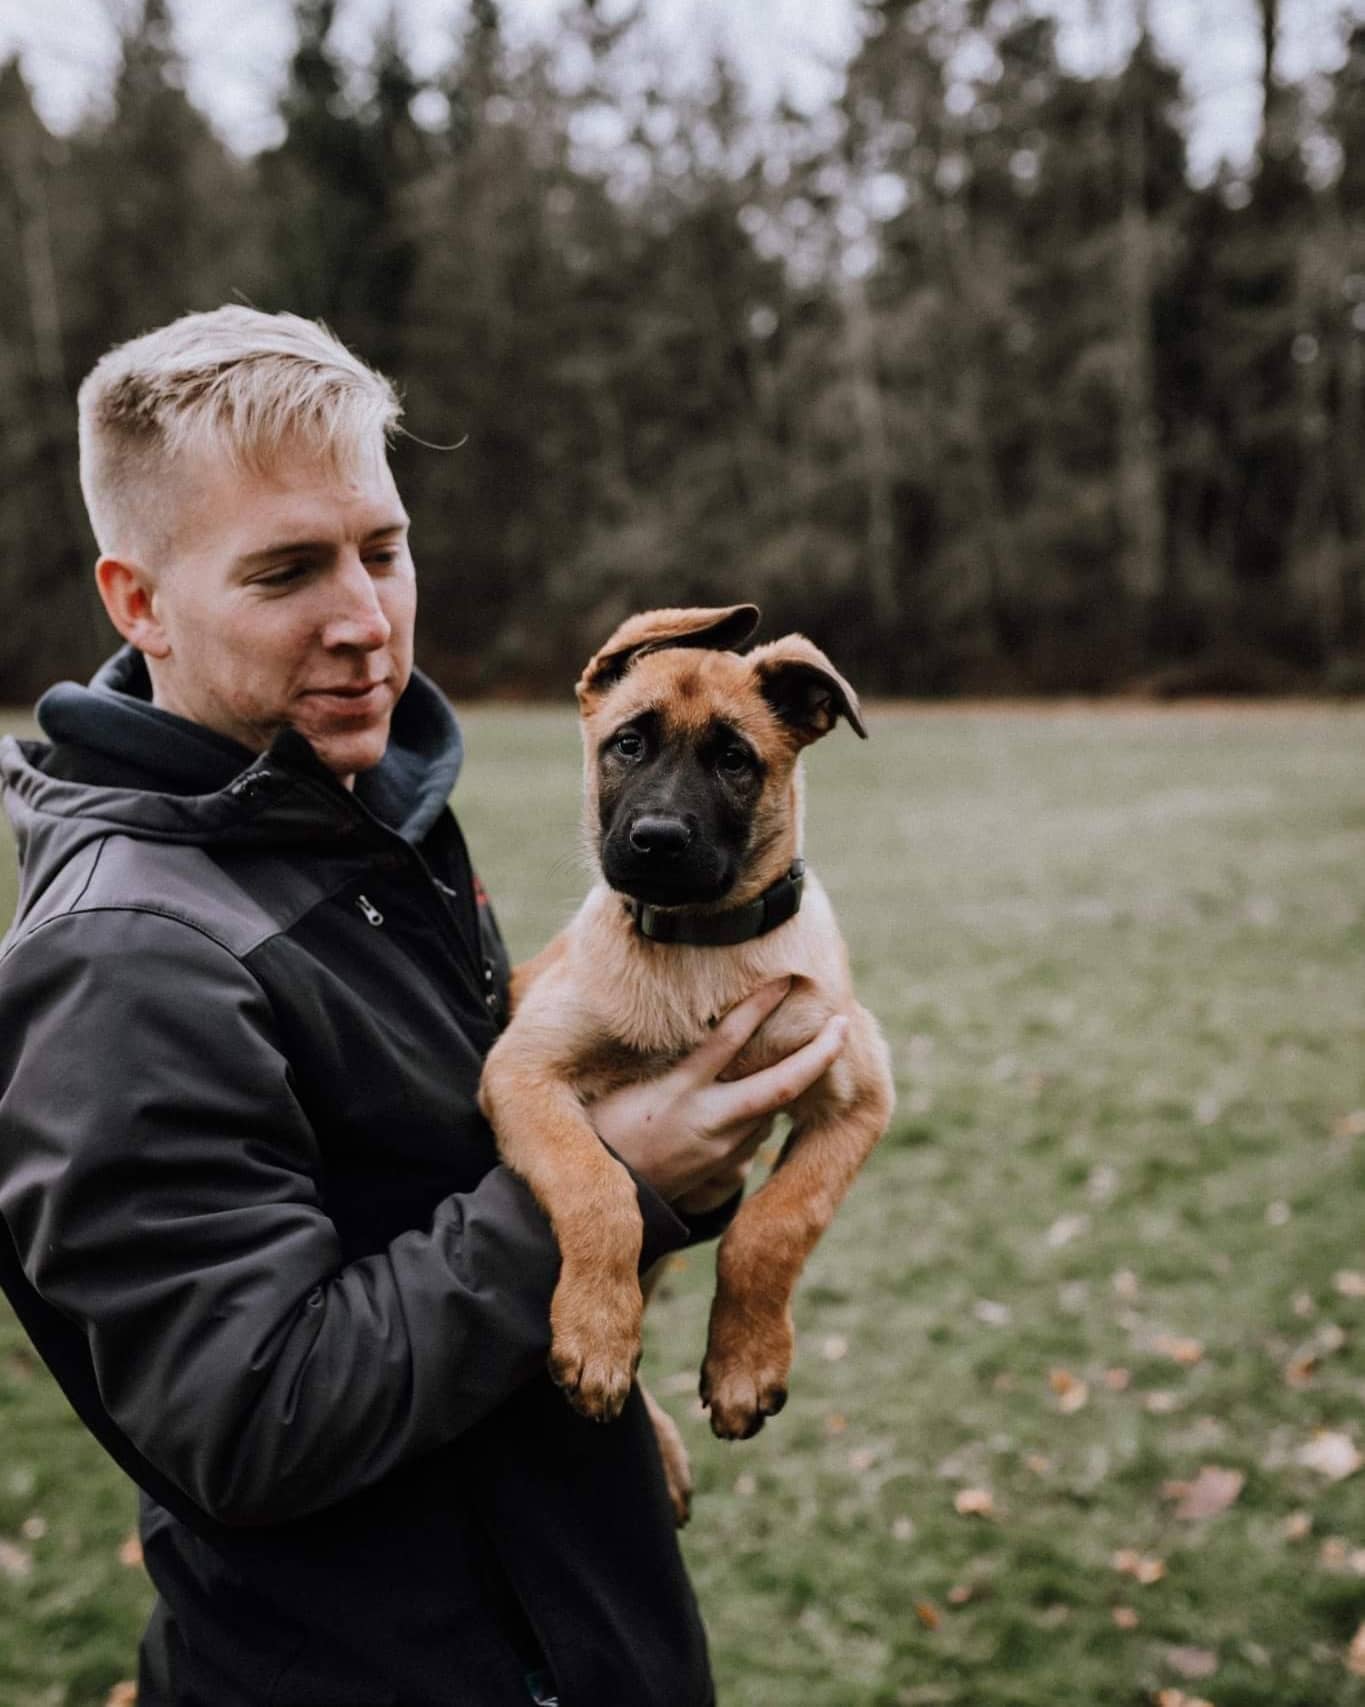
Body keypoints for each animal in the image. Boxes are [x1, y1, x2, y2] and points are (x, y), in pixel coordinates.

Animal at [481, 604, 894, 1508]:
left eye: (735, 759)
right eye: (627, 743)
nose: (658, 839)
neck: (697, 950)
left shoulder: (857, 1091)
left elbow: (773, 1224)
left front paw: (744, 1365)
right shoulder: (521, 1070)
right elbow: (599, 1187)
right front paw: (596, 1336)